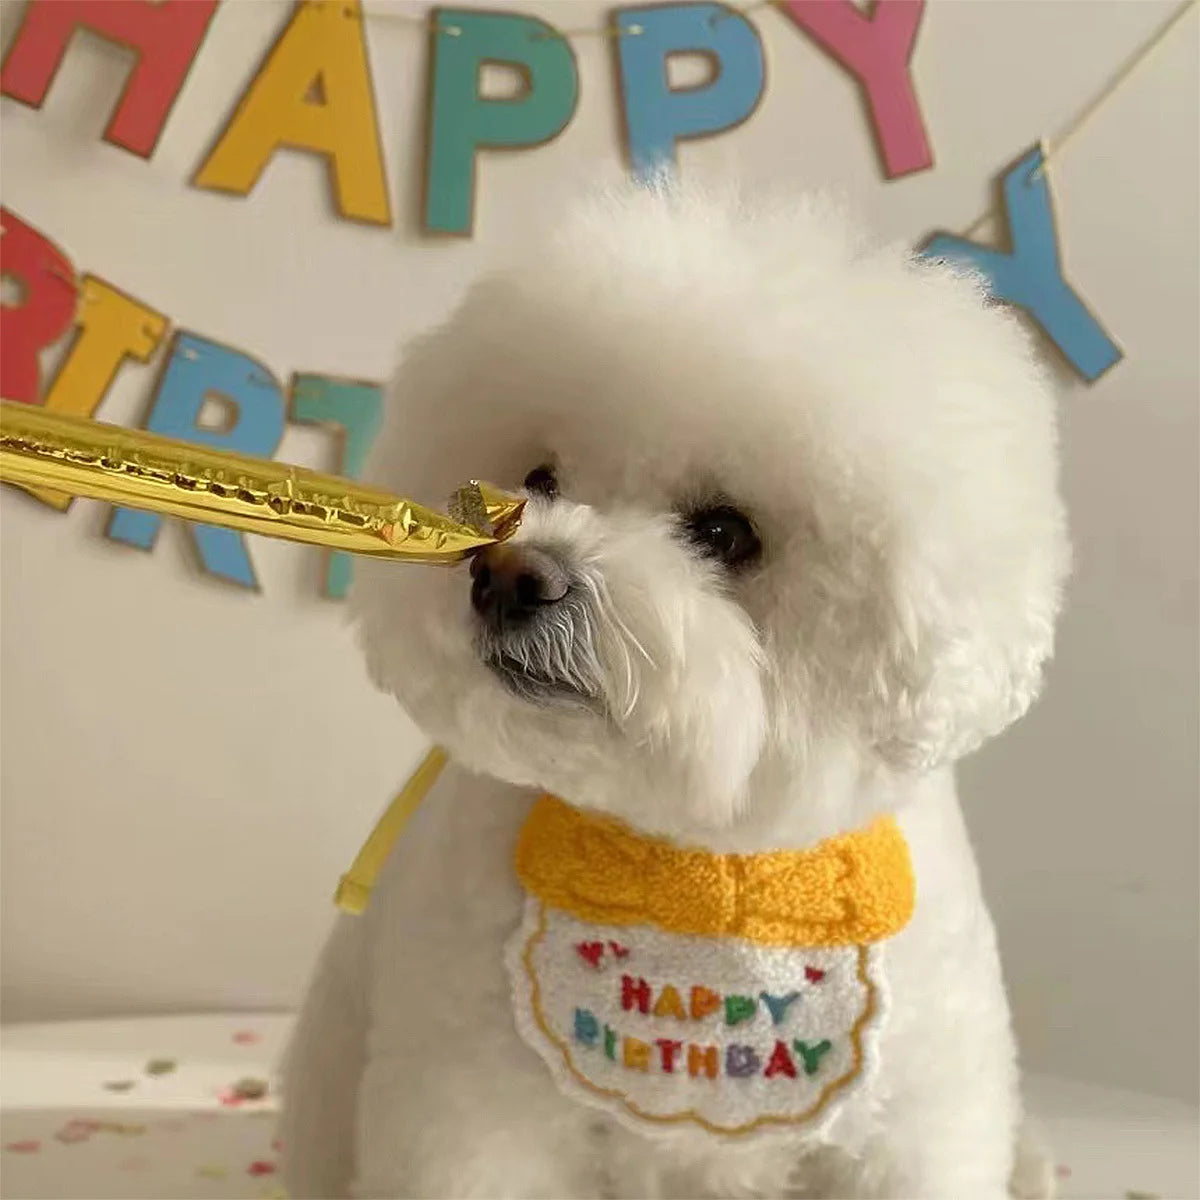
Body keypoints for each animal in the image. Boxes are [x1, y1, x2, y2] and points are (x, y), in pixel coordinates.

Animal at [280, 180, 1070, 1200]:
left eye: (725, 532)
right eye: (537, 478)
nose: (509, 577)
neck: (698, 868)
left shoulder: (913, 1123)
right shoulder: (473, 1108)